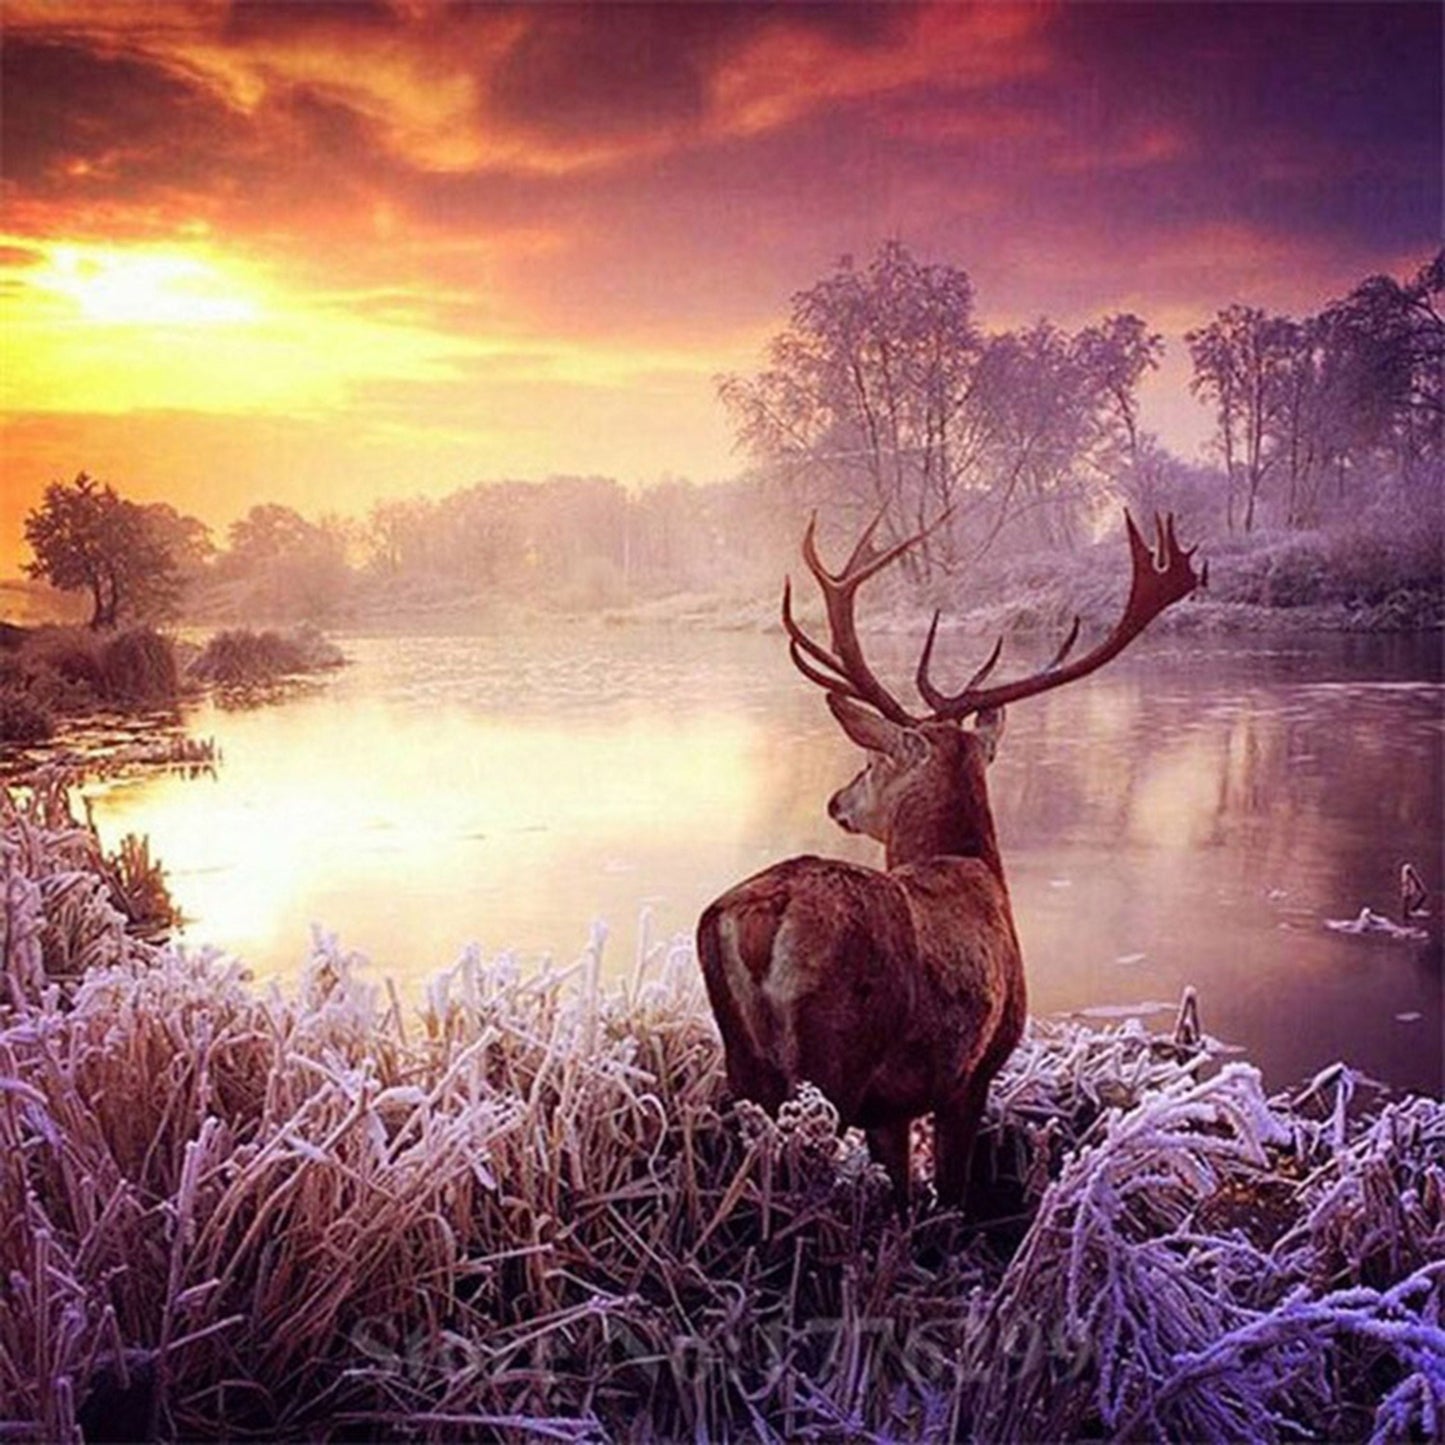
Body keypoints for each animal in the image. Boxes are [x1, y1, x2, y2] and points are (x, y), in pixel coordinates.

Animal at [697, 509, 1204, 1207]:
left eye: (871, 761)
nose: (836, 800)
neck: (971, 865)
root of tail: (761, 916)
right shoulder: (973, 1071)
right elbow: (953, 1193)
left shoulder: (891, 1106)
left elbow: (902, 1193)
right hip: (834, 1061)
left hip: (744, 1062)